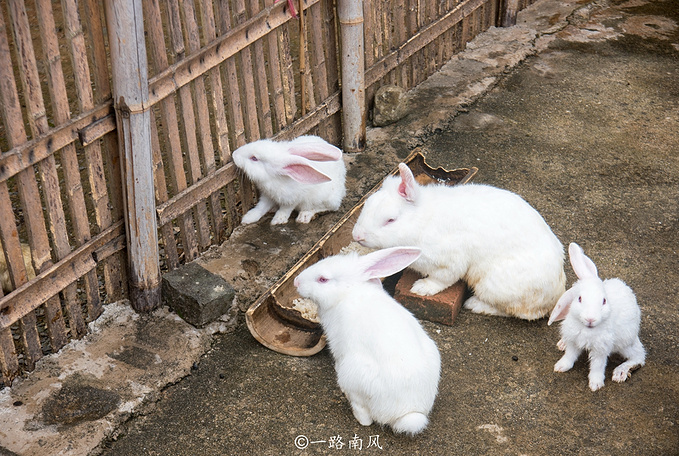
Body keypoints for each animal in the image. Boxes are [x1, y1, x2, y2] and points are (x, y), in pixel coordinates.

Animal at [292, 246, 440, 434]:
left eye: (323, 279)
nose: (296, 281)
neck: (348, 291)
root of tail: (407, 412)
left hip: (353, 376)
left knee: (365, 416)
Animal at [354, 164, 564, 320]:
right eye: (367, 205)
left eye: (391, 220)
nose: (357, 236)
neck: (423, 221)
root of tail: (556, 295)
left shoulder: (449, 262)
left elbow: (442, 279)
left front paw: (421, 288)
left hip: (494, 286)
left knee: (517, 313)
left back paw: (475, 305)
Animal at [548, 242, 648, 392]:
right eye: (579, 298)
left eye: (604, 301)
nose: (590, 319)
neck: (587, 329)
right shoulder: (573, 340)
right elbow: (569, 356)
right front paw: (560, 367)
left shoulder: (601, 349)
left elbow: (597, 366)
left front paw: (595, 384)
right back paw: (562, 344)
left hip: (625, 343)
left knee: (639, 357)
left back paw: (620, 372)